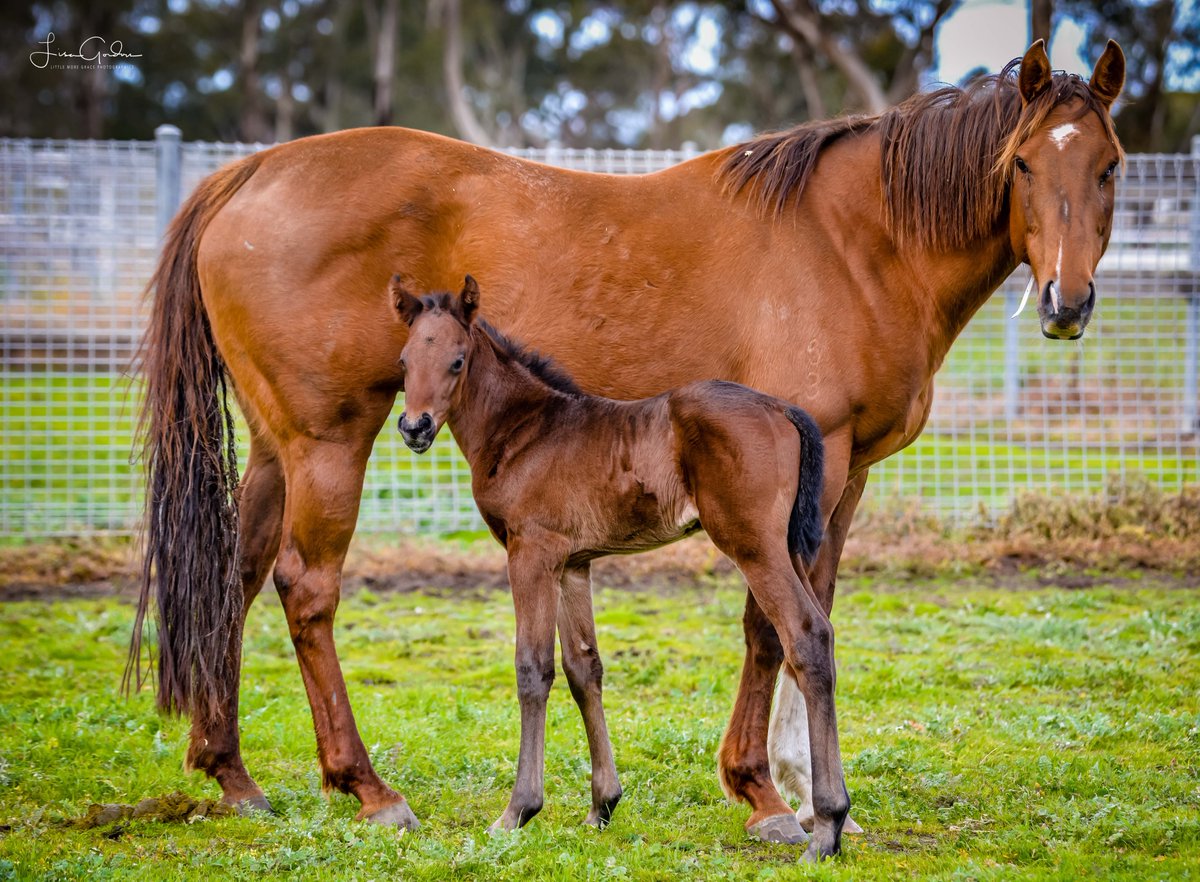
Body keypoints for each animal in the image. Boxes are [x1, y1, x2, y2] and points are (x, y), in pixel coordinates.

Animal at [392, 275, 841, 855]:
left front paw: (517, 812)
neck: (526, 432)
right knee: (823, 632)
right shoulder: (572, 563)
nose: (414, 427)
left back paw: (826, 828)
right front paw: (601, 805)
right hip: (789, 547)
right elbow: (585, 668)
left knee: (805, 634)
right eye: (404, 361)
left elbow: (532, 668)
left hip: (754, 546)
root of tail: (784, 411)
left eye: (457, 360)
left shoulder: (530, 553)